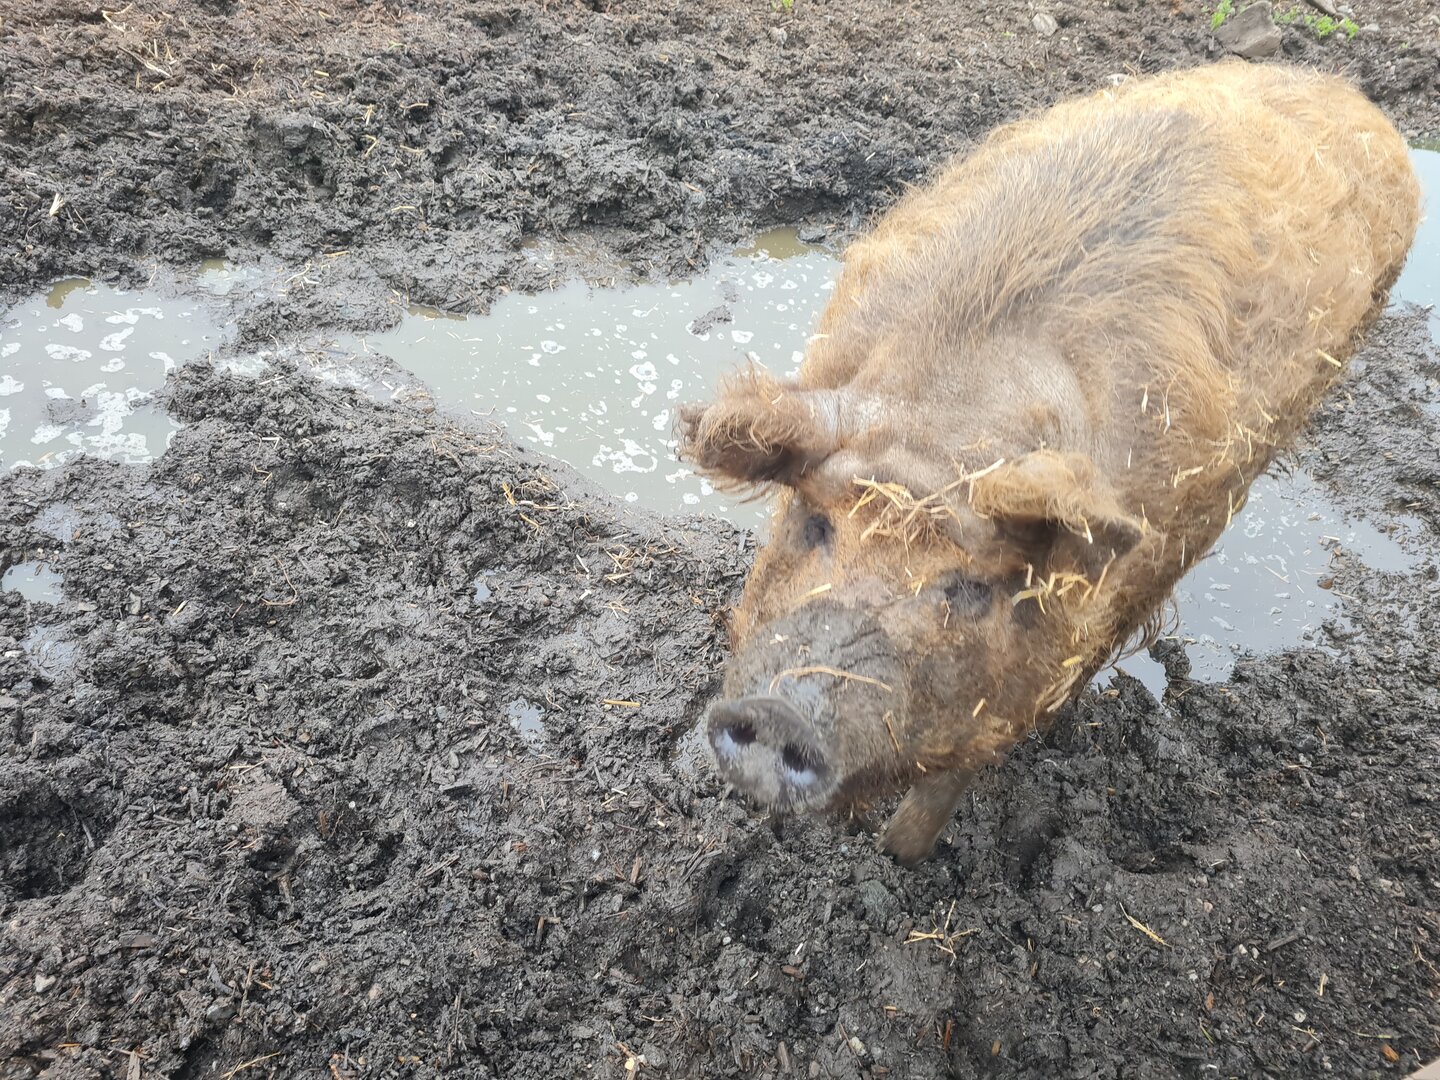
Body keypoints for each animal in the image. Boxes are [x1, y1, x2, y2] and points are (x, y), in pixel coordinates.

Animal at [678, 61, 1421, 864]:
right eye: (814, 525)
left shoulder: (1040, 663)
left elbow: (957, 772)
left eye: (970, 589)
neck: (951, 426)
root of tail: (1348, 94)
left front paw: (897, 857)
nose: (778, 714)